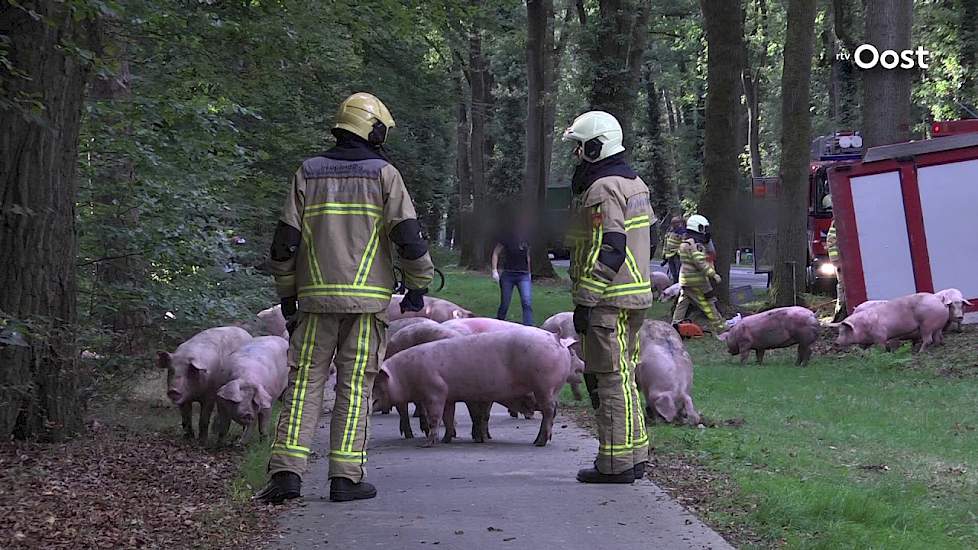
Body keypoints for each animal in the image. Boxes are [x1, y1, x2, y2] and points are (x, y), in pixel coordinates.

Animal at [372, 328, 572, 448]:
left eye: (377, 383)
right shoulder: (449, 396)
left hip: (544, 386)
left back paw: (539, 442)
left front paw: (427, 444)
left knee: (549, 411)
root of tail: (557, 338)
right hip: (549, 389)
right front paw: (446, 440)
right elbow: (448, 416)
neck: (404, 376)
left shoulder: (435, 391)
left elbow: (435, 418)